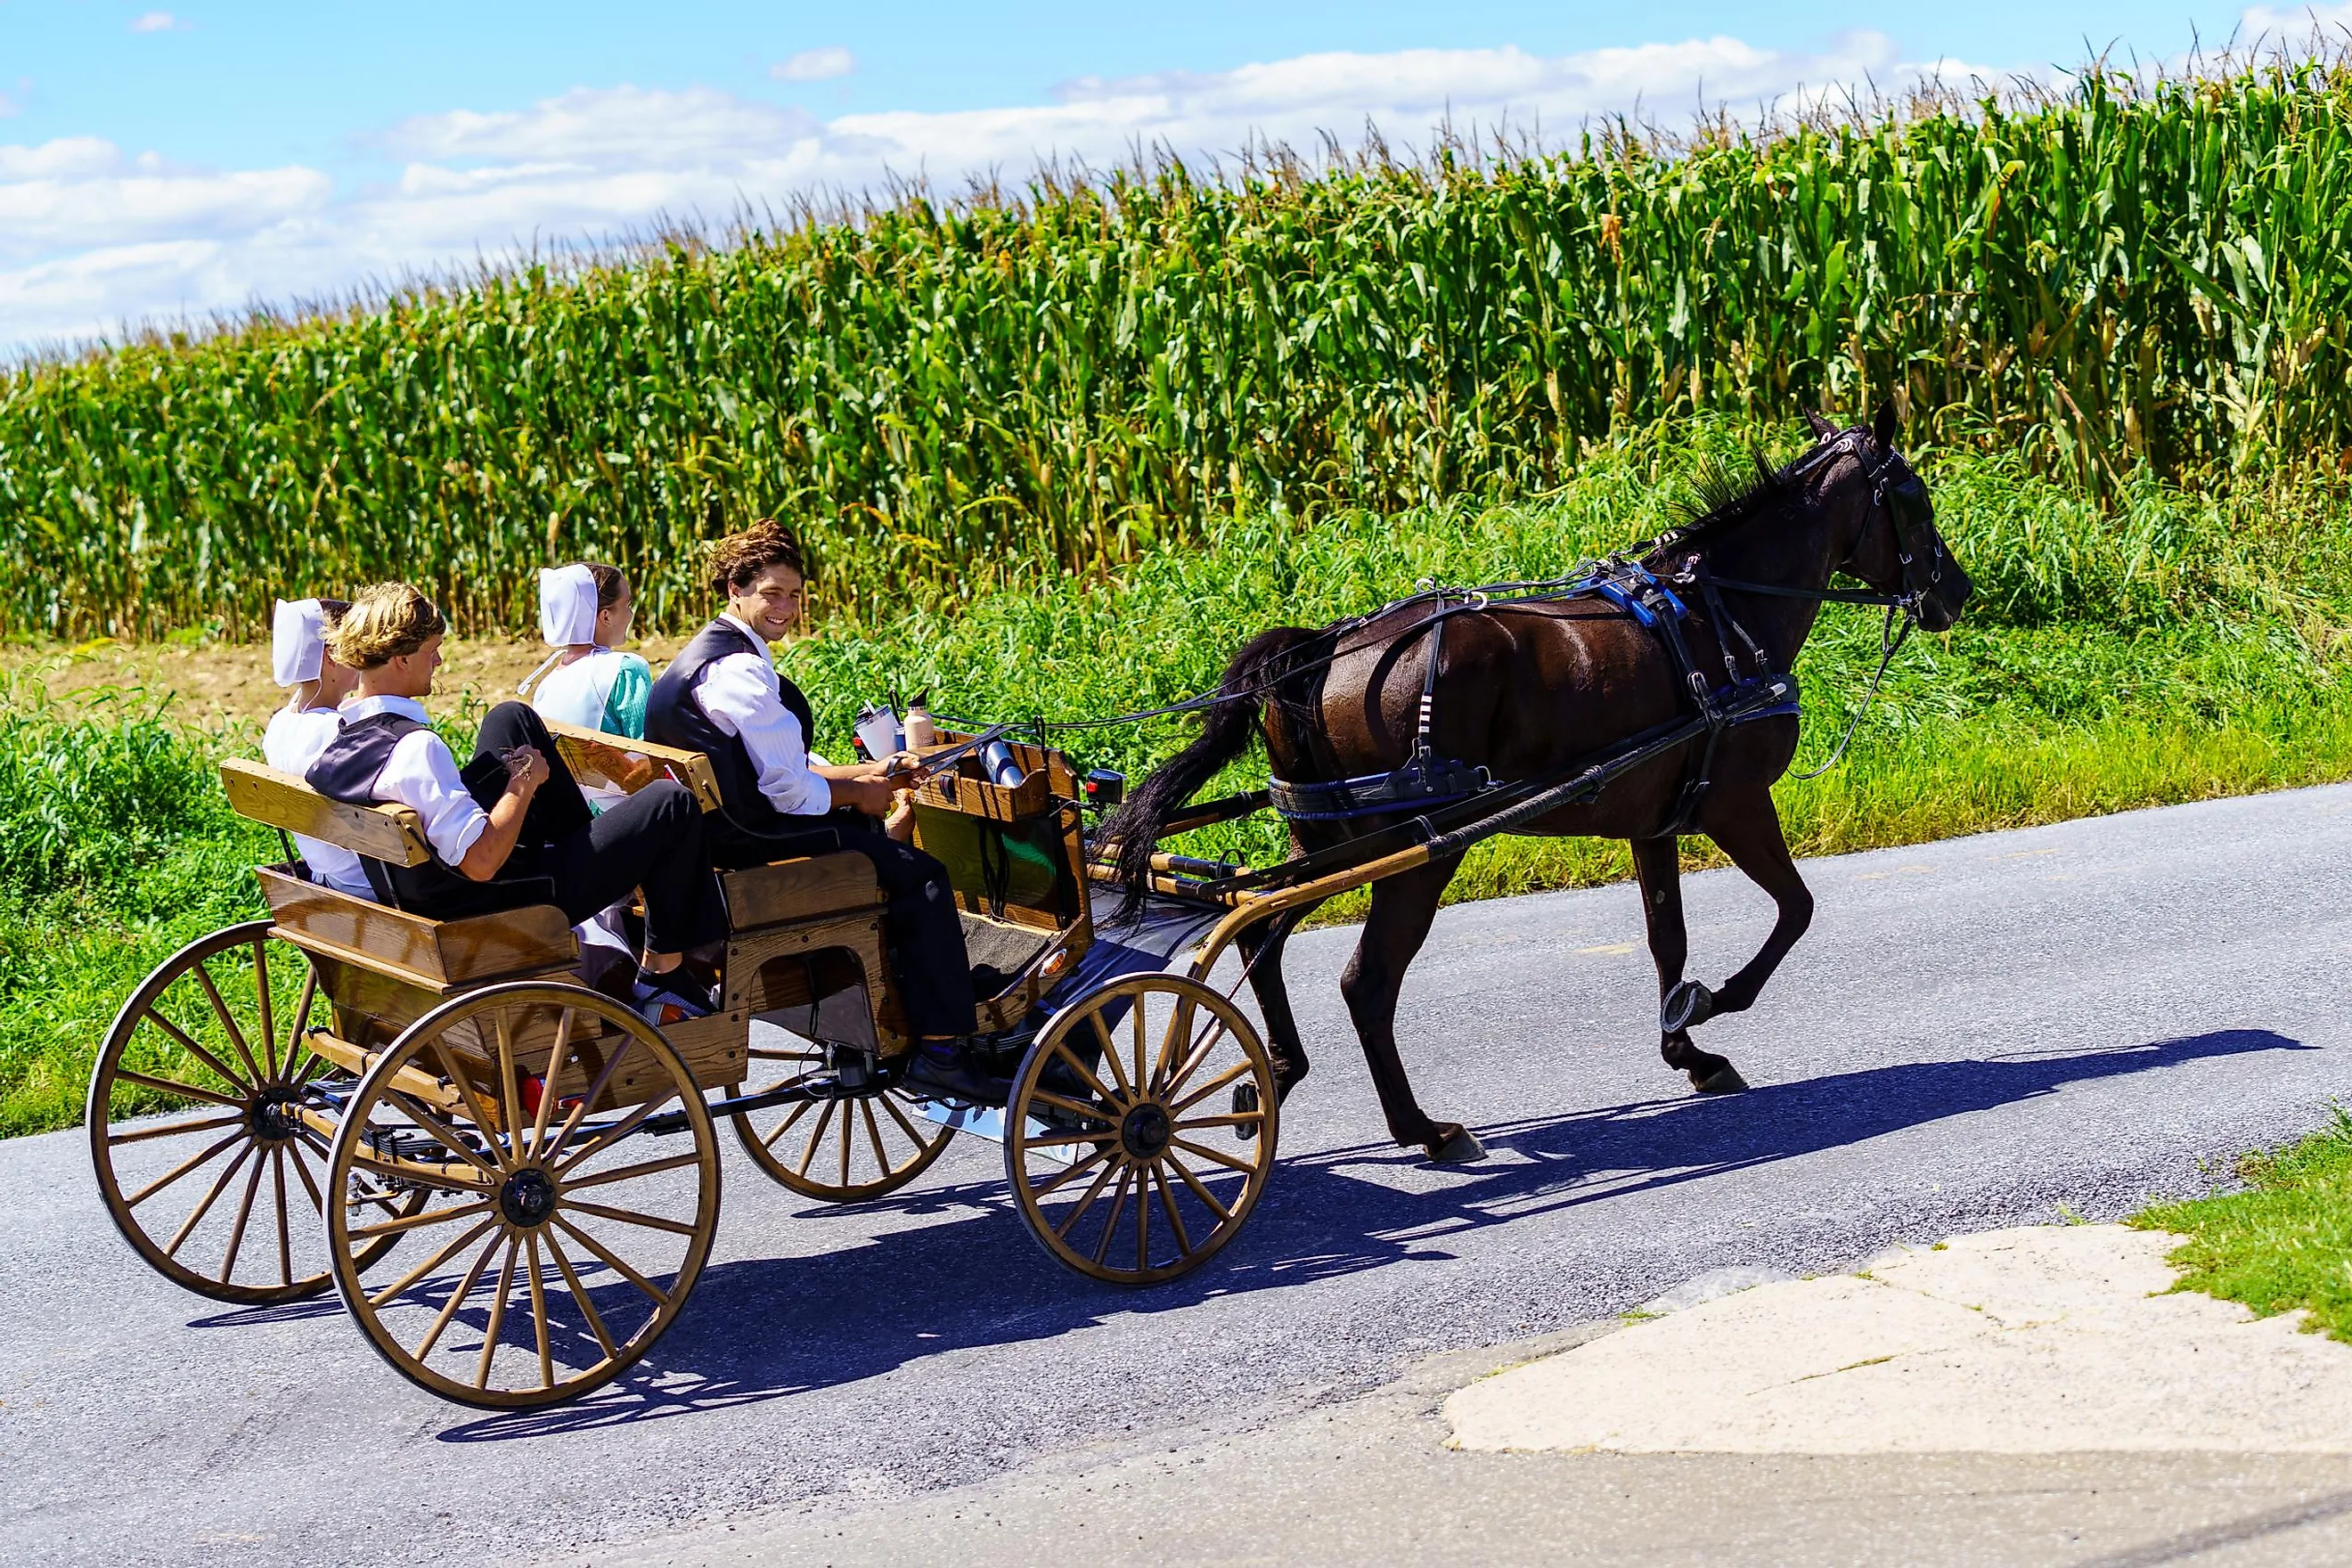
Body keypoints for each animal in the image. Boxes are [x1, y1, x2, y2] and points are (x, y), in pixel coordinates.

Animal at [1100, 404, 1966, 1165]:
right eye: (1914, 496)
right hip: (1413, 853)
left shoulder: (1655, 822)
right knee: (1365, 982)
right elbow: (1796, 909)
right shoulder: (1738, 803)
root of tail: (1320, 651)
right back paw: (1424, 1129)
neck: (1720, 616)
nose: (1954, 592)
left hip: (1329, 838)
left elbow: (1668, 937)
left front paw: (1687, 1049)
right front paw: (1712, 1000)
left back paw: (1276, 1074)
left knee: (1258, 929)